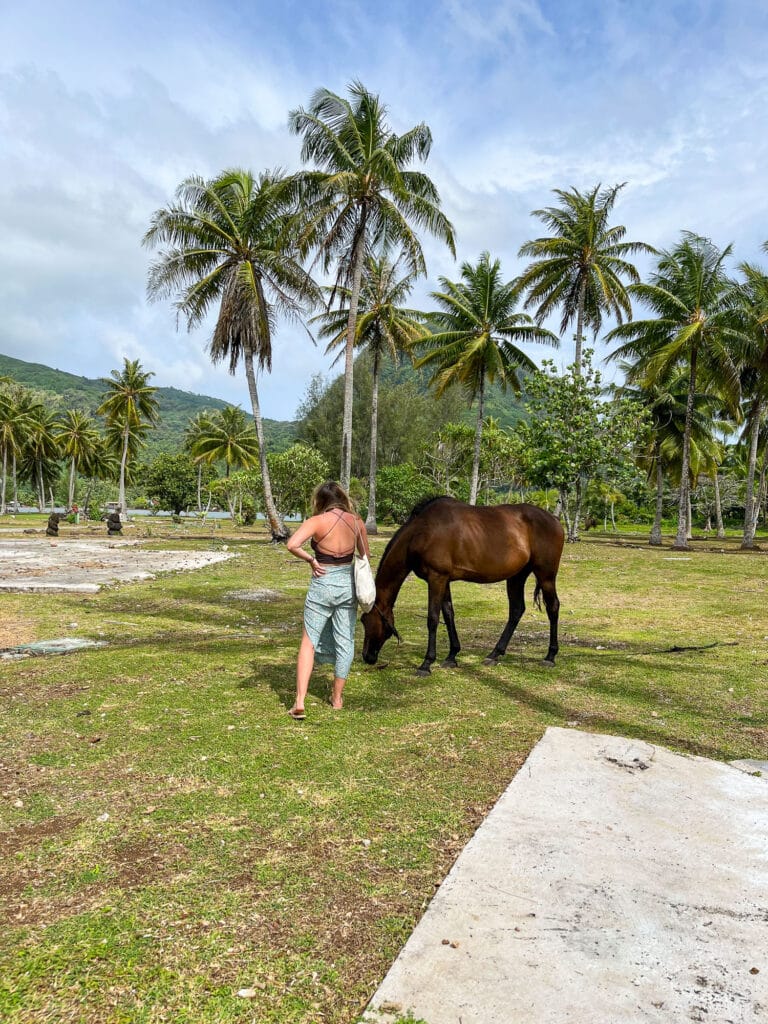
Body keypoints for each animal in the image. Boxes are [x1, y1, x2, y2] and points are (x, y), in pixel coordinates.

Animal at [361, 496, 564, 675]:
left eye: (367, 620)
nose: (367, 657)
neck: (422, 532)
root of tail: (554, 520)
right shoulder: (444, 580)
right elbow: (448, 614)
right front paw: (452, 656)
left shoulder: (436, 578)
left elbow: (433, 618)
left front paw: (427, 663)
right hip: (516, 577)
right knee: (516, 610)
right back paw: (494, 654)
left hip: (546, 575)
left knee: (553, 607)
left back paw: (550, 656)